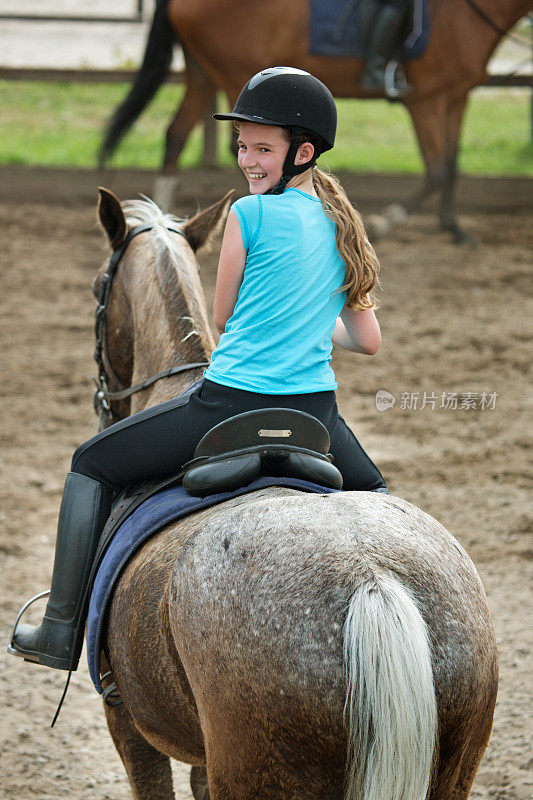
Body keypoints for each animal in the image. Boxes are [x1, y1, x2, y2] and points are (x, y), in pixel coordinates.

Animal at [98, 0, 528, 242]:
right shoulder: (427, 101)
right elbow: (437, 169)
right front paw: (388, 221)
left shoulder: (455, 96)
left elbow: (451, 165)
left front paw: (453, 227)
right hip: (229, 71)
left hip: (202, 73)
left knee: (175, 134)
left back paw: (166, 216)